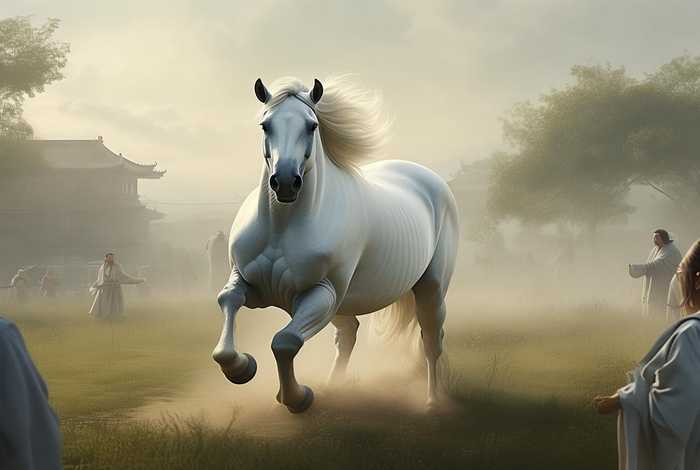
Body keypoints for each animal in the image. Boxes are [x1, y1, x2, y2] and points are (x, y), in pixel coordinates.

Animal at [212, 76, 459, 413]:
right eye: (265, 125)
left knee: (431, 338)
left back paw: (432, 402)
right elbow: (228, 302)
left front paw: (297, 398)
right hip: (344, 303)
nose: (285, 183)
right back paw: (333, 388)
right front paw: (241, 368)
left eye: (312, 126)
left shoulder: (321, 294)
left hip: (429, 288)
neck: (283, 226)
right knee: (349, 334)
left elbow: (285, 342)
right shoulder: (247, 281)